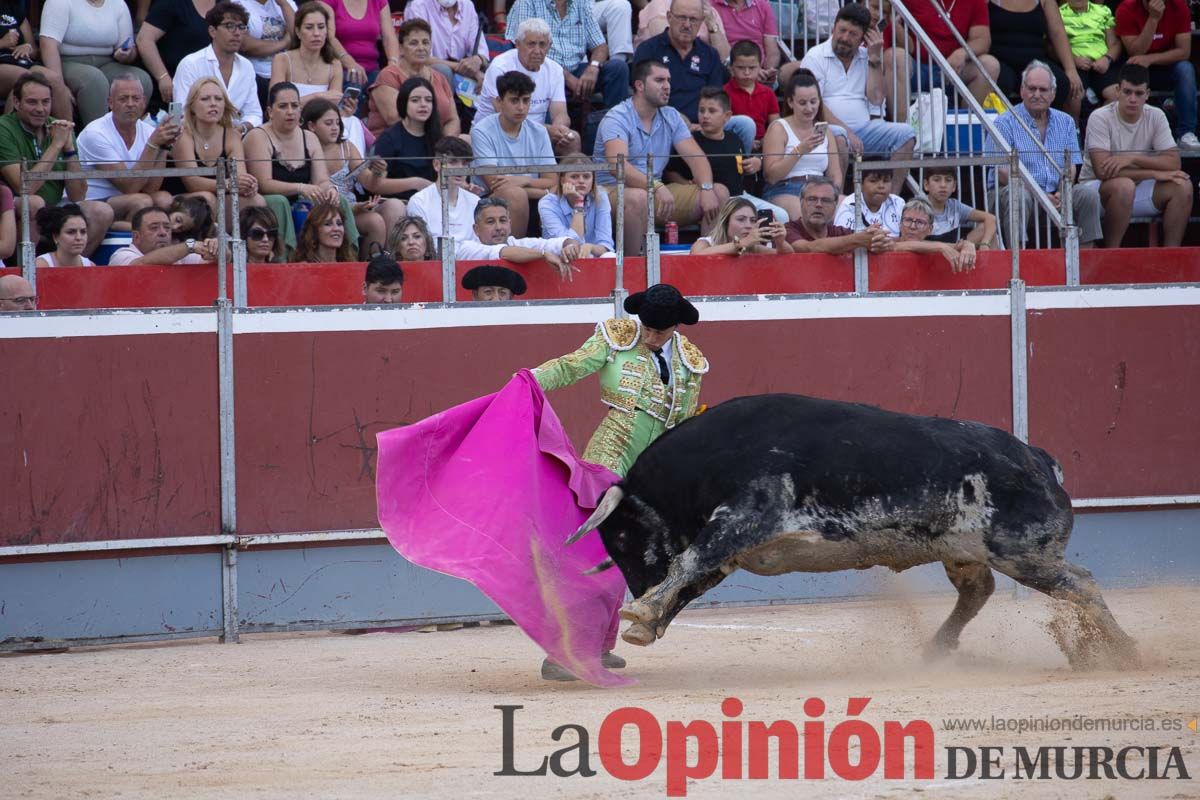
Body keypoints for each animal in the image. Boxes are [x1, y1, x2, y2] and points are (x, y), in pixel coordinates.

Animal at [576, 393, 1137, 671]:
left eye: (622, 538)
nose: (636, 588)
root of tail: (1039, 458)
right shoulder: (732, 545)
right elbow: (690, 576)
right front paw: (646, 622)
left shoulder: (745, 517)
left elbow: (689, 561)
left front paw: (640, 614)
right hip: (965, 551)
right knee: (978, 591)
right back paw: (936, 650)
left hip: (1022, 553)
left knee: (1081, 583)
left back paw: (1124, 651)